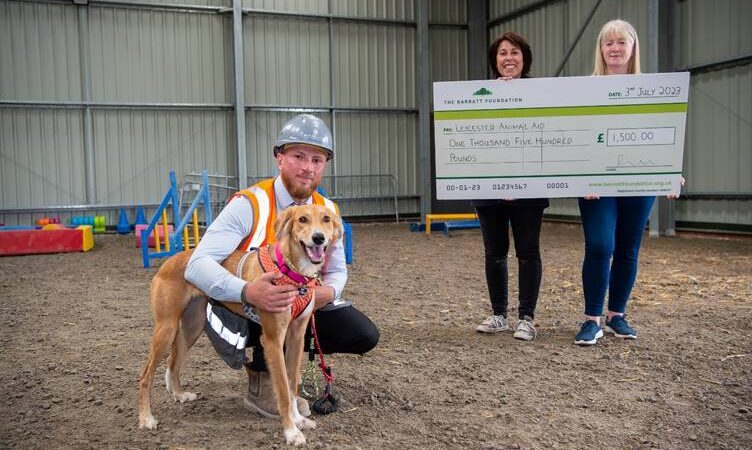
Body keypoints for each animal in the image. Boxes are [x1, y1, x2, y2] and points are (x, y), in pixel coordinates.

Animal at [138, 205, 344, 446]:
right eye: (302, 219)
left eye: (326, 219)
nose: (318, 238)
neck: (291, 271)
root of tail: (171, 261)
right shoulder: (273, 340)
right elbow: (283, 390)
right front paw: (291, 432)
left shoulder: (296, 336)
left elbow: (292, 384)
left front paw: (299, 420)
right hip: (166, 329)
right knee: (146, 375)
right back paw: (146, 418)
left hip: (192, 328)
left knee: (174, 361)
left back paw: (179, 394)